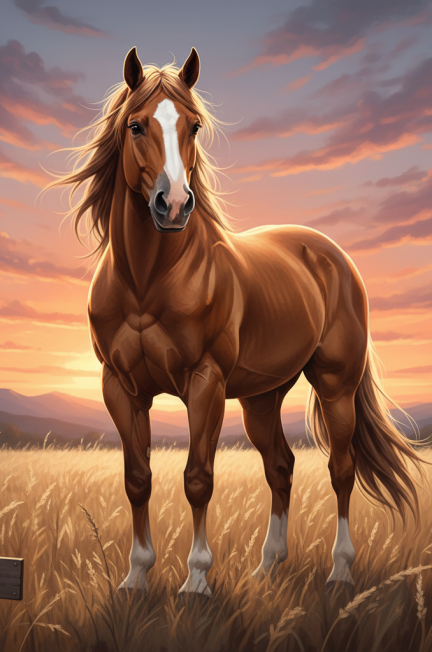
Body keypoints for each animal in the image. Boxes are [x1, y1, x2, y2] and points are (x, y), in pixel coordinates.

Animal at [50, 46, 424, 596]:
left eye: (195, 125)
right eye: (136, 125)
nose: (174, 205)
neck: (147, 281)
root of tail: (332, 255)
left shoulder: (205, 382)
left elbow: (197, 478)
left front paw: (197, 580)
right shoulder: (120, 387)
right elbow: (137, 478)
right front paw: (136, 576)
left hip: (335, 386)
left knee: (341, 469)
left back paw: (340, 569)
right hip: (261, 398)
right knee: (281, 467)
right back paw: (268, 567)